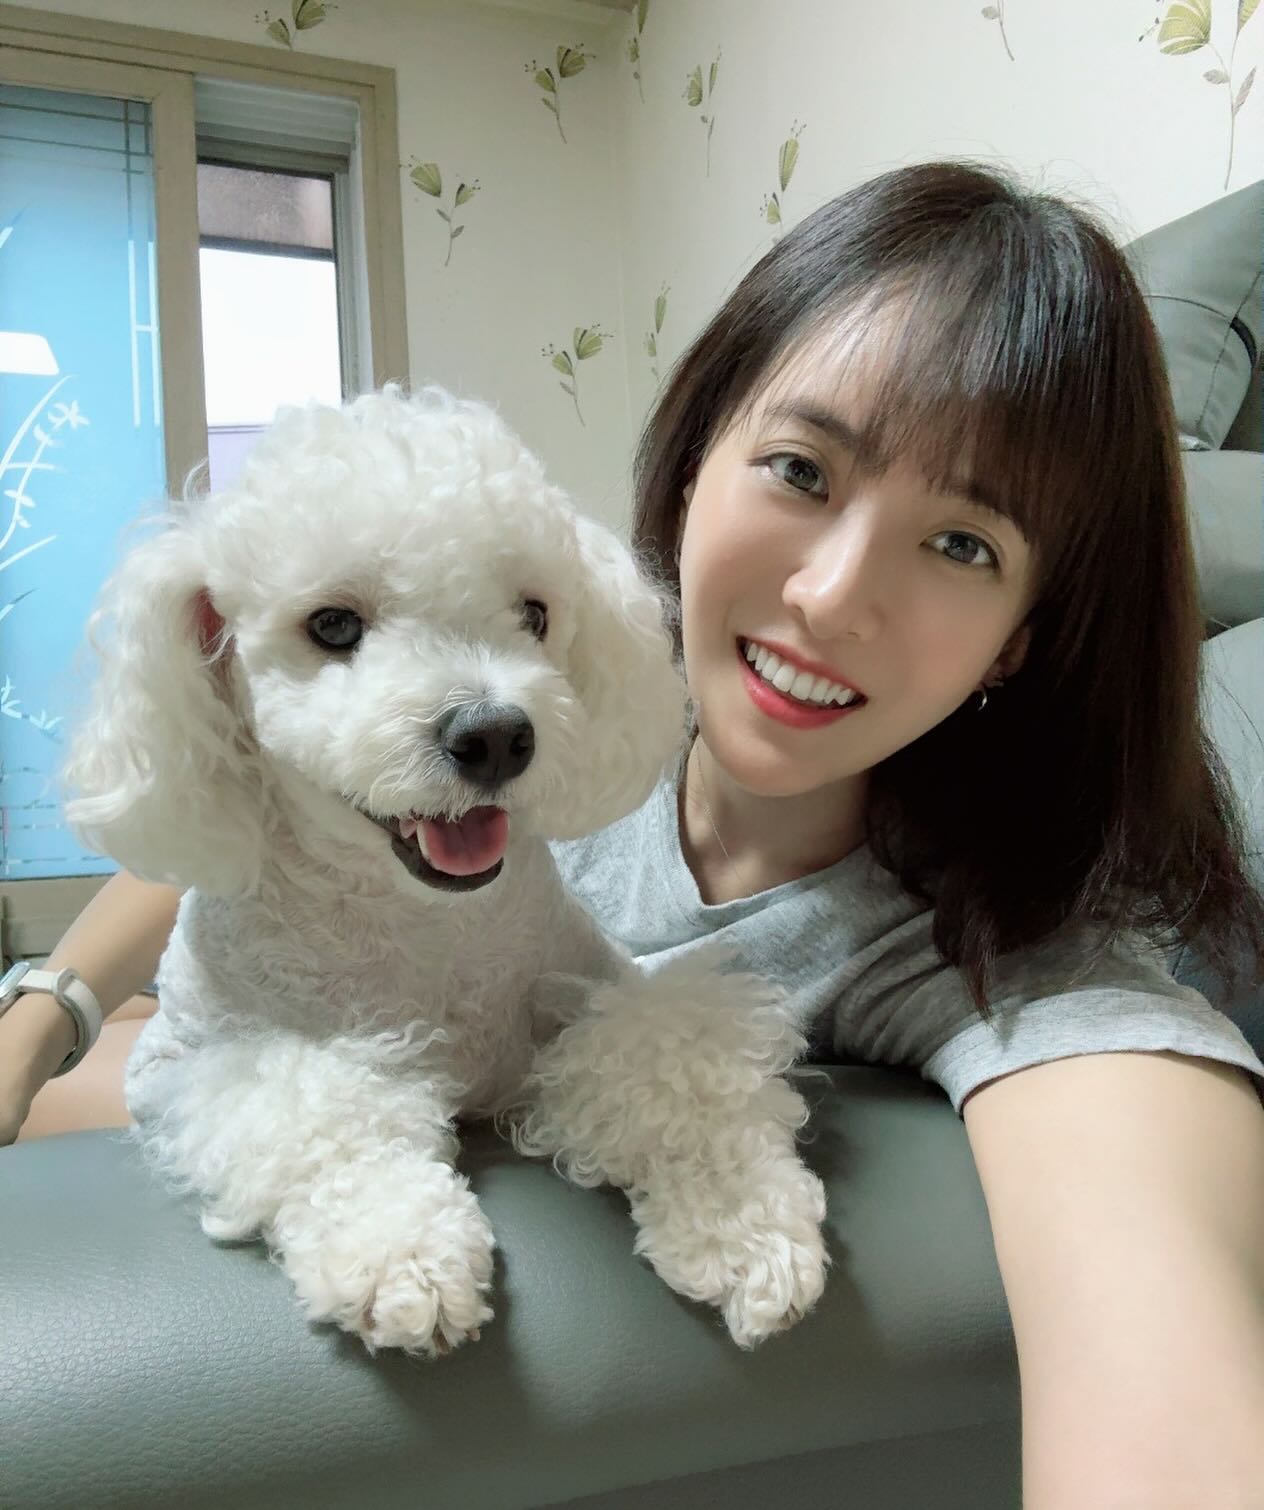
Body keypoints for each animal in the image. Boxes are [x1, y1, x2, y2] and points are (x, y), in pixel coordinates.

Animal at [65, 386, 828, 1356]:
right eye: (333, 625)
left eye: (535, 615)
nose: (495, 735)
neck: (422, 930)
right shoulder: (182, 1069)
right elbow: (316, 1102)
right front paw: (400, 1254)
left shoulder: (604, 994)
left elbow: (669, 1061)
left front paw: (741, 1223)